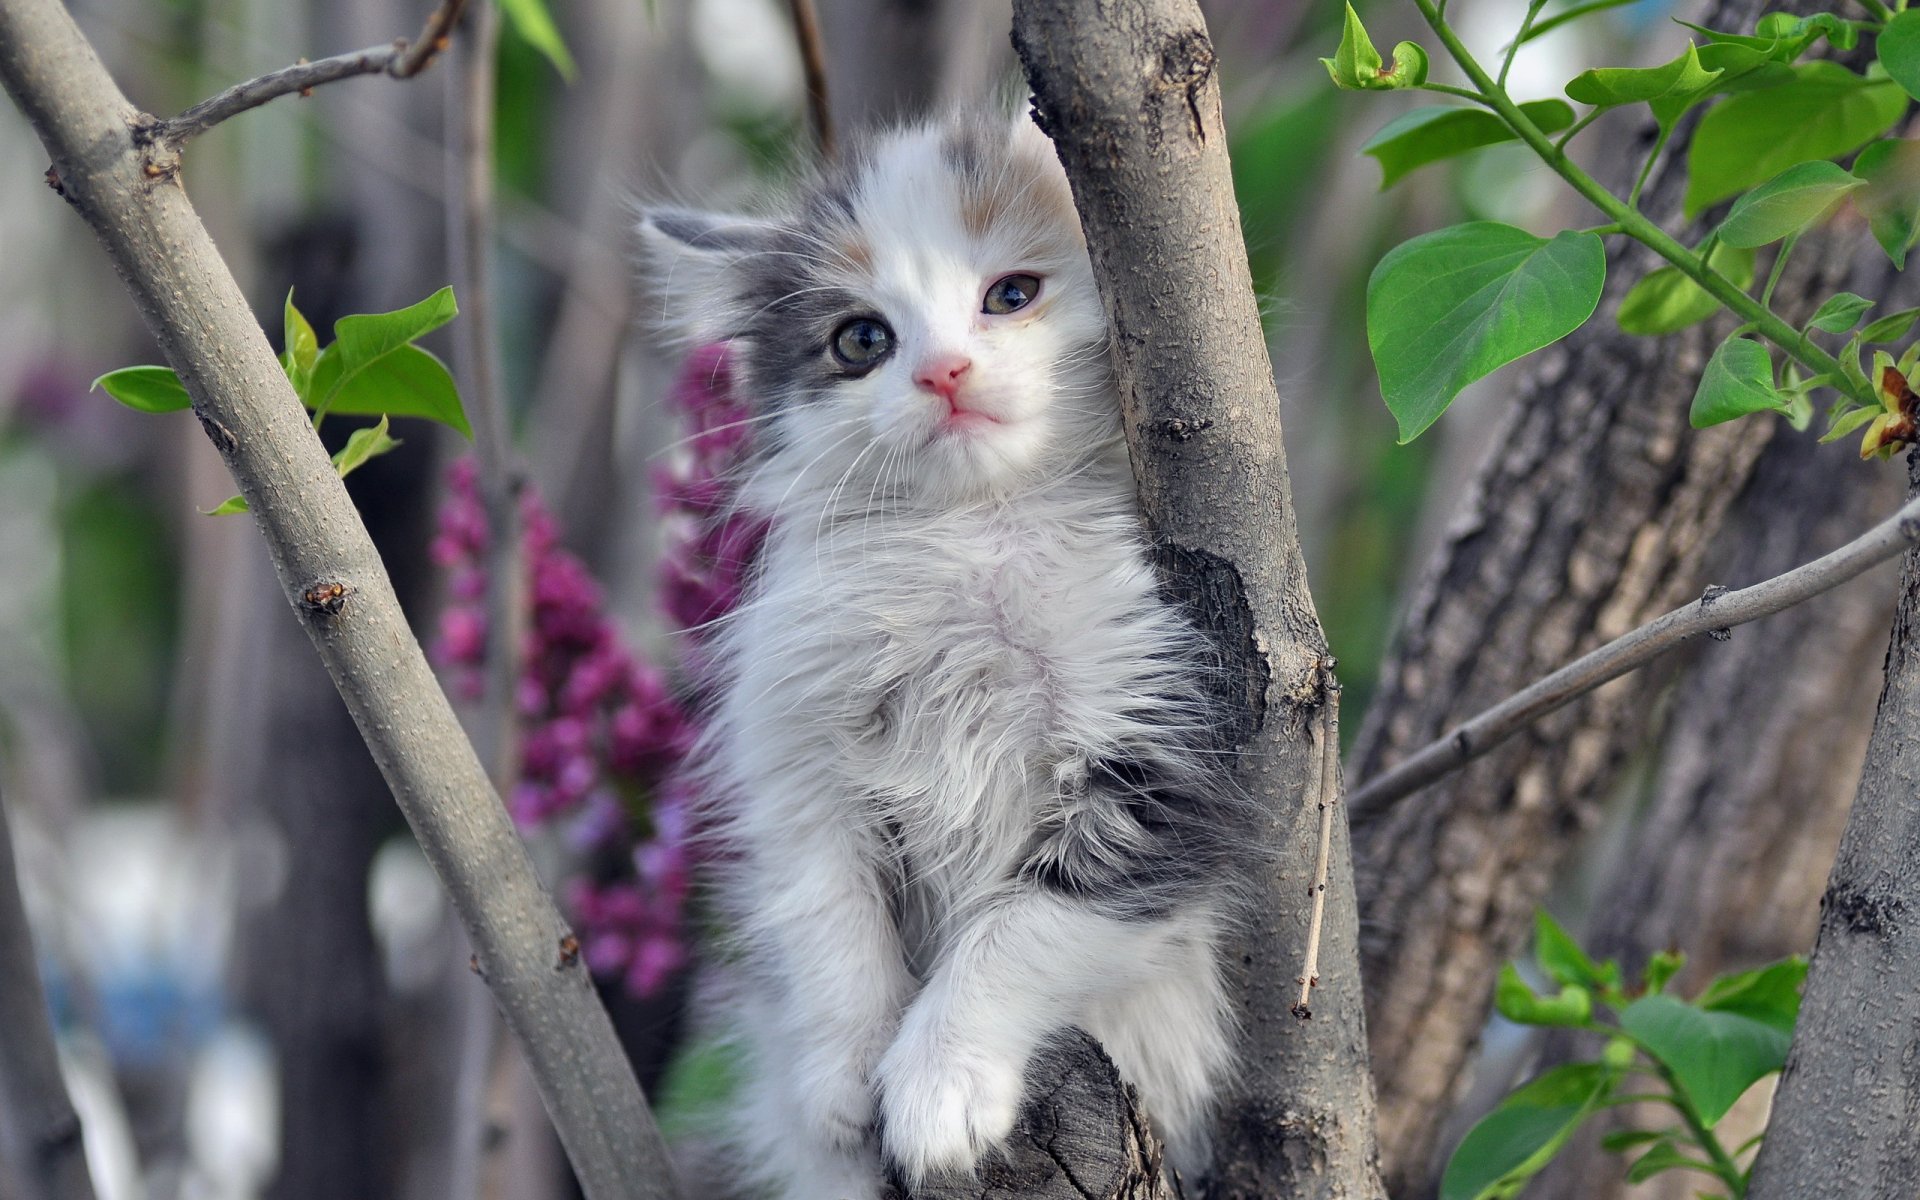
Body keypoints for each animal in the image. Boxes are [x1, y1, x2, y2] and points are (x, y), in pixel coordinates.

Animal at [637, 112, 1251, 1198]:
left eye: (1011, 295)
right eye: (862, 340)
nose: (944, 372)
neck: (977, 532)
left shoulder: (1158, 740)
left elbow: (1022, 926)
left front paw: (936, 1084)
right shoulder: (799, 756)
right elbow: (829, 914)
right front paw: (846, 1074)